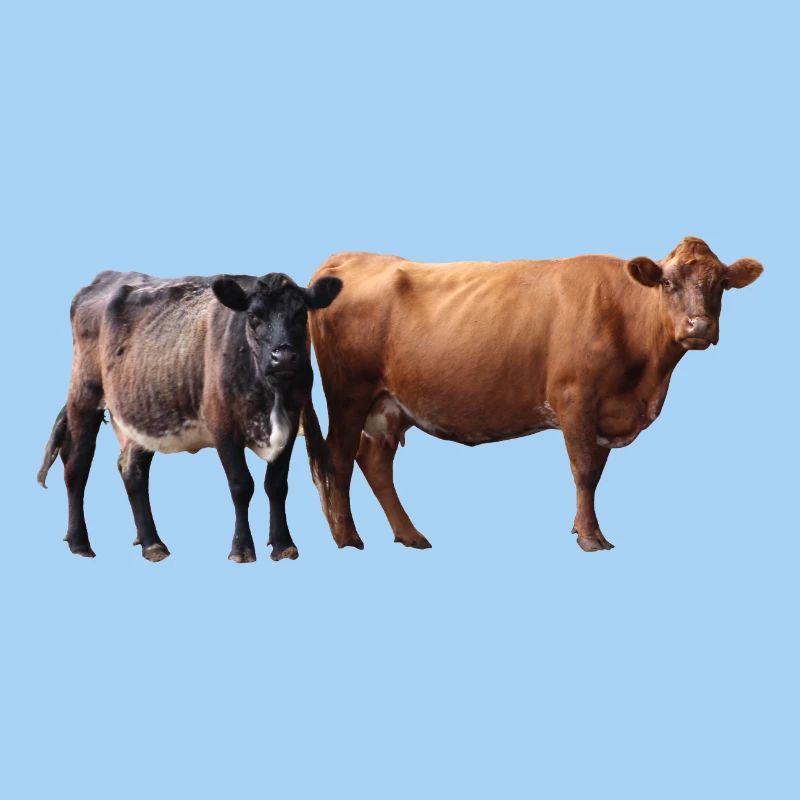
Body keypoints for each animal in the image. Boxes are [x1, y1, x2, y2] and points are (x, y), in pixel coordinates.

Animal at [38, 270, 342, 562]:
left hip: (144, 410)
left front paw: (283, 545)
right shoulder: (222, 427)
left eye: (301, 314)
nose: (285, 357)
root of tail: (105, 278)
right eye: (254, 316)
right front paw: (241, 548)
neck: (271, 399)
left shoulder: (290, 424)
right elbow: (241, 485)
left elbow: (276, 486)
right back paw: (80, 542)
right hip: (84, 396)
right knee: (77, 466)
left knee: (132, 469)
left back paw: (152, 543)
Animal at [301, 237, 763, 553]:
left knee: (374, 461)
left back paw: (410, 535)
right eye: (667, 282)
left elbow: (596, 473)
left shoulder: (606, 413)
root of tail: (350, 257)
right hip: (348, 393)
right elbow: (583, 471)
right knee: (338, 459)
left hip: (388, 404)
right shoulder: (575, 398)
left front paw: (581, 527)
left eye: (721, 283)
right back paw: (347, 538)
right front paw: (591, 538)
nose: (699, 326)